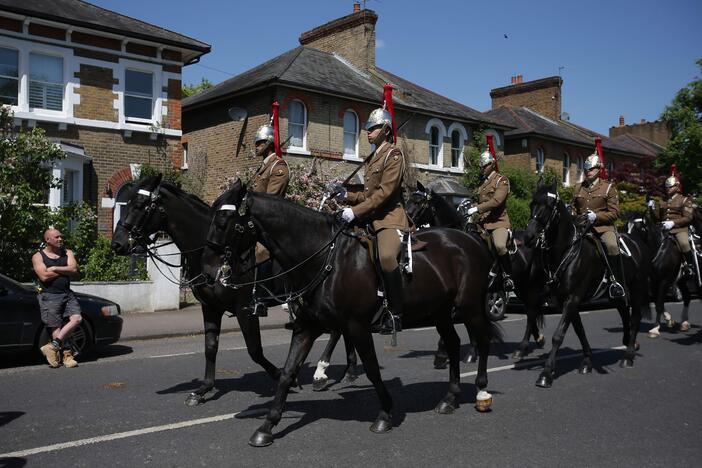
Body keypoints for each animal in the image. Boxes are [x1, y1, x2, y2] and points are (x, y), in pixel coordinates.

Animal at [110, 176, 280, 406]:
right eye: (125, 203)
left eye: (138, 205)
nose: (116, 244)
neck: (213, 255)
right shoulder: (210, 307)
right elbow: (210, 347)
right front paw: (203, 389)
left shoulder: (245, 308)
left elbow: (255, 349)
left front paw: (281, 376)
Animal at [201, 183, 504, 446]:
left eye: (223, 220)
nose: (207, 268)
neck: (324, 258)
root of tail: (471, 240)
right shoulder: (307, 327)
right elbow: (287, 373)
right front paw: (267, 426)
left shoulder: (356, 326)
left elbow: (371, 369)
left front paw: (385, 414)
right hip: (440, 312)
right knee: (452, 343)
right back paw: (449, 398)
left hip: (469, 307)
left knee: (482, 340)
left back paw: (482, 392)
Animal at [408, 183, 552, 366]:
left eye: (418, 202)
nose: (406, 222)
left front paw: (459, 352)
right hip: (520, 286)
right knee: (530, 310)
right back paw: (538, 339)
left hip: (531, 284)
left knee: (532, 312)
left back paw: (522, 348)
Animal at [524, 181, 652, 386]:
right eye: (532, 204)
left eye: (549, 206)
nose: (528, 236)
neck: (566, 250)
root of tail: (639, 243)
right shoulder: (566, 300)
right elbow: (579, 330)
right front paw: (587, 361)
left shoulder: (573, 298)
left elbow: (558, 335)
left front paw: (546, 373)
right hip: (617, 294)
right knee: (624, 312)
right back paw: (626, 343)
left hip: (637, 288)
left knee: (635, 317)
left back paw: (628, 355)